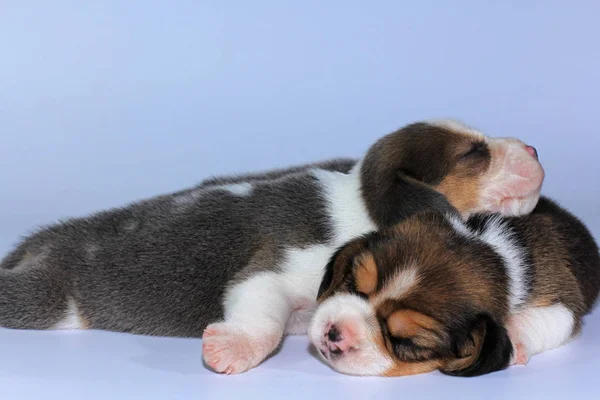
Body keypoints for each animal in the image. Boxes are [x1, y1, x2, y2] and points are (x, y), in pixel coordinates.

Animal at [0, 120, 544, 374]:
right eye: (475, 154)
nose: (536, 149)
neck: (361, 203)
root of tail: (42, 242)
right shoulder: (274, 271)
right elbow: (263, 317)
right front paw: (232, 348)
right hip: (43, 300)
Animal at [312, 195, 596, 376]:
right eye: (353, 283)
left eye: (407, 342)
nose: (334, 333)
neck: (493, 251)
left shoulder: (563, 299)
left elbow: (553, 318)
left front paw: (515, 339)